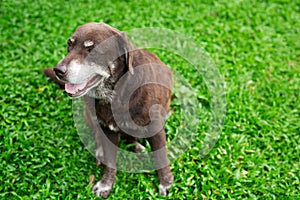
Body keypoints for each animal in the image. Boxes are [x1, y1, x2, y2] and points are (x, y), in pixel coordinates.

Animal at [42, 22, 173, 198]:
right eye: (69, 44)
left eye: (92, 49)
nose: (58, 70)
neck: (117, 94)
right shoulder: (108, 129)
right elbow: (111, 161)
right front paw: (106, 185)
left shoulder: (156, 128)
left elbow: (161, 157)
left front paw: (166, 182)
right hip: (89, 115)